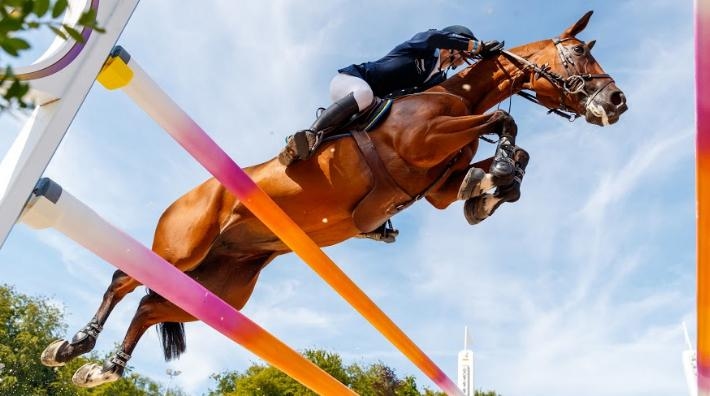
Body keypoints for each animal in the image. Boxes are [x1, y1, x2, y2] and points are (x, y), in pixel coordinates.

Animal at [40, 10, 628, 386]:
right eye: (578, 51)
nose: (617, 101)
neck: (455, 93)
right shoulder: (422, 140)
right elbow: (505, 122)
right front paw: (499, 174)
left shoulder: (434, 187)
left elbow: (497, 158)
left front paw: (491, 189)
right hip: (181, 247)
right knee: (123, 279)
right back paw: (75, 347)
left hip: (223, 288)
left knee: (149, 304)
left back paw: (104, 369)